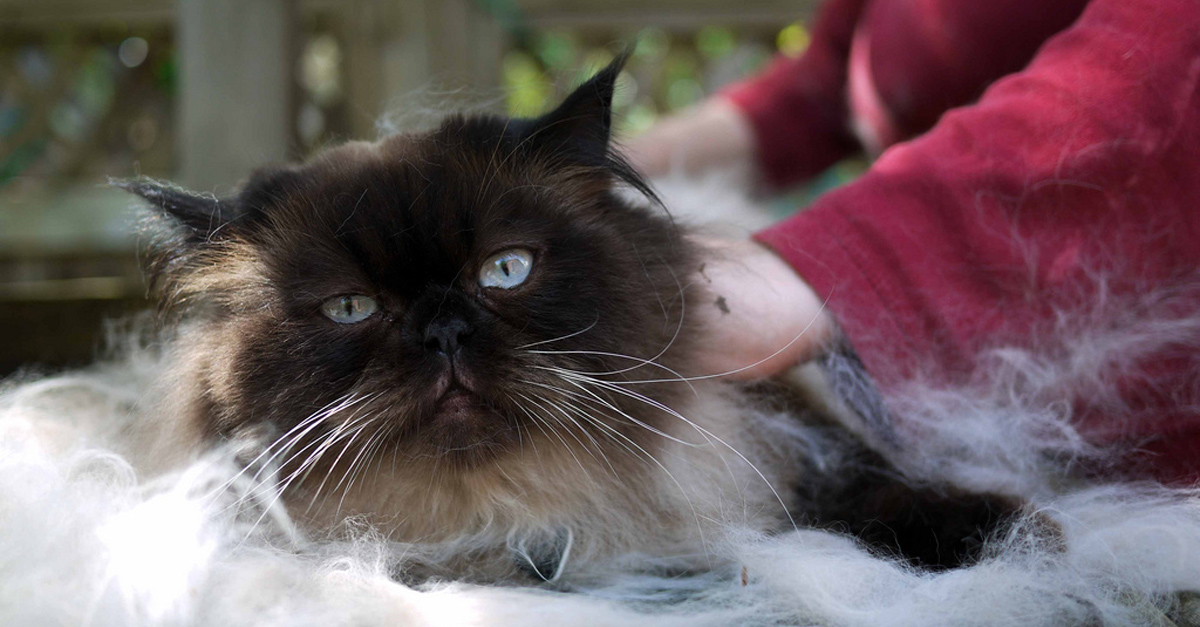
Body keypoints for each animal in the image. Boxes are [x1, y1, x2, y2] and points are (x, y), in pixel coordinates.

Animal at [117, 53, 1013, 583]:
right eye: (350, 308)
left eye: (506, 270)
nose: (443, 331)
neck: (515, 517)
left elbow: (894, 492)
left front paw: (1015, 536)